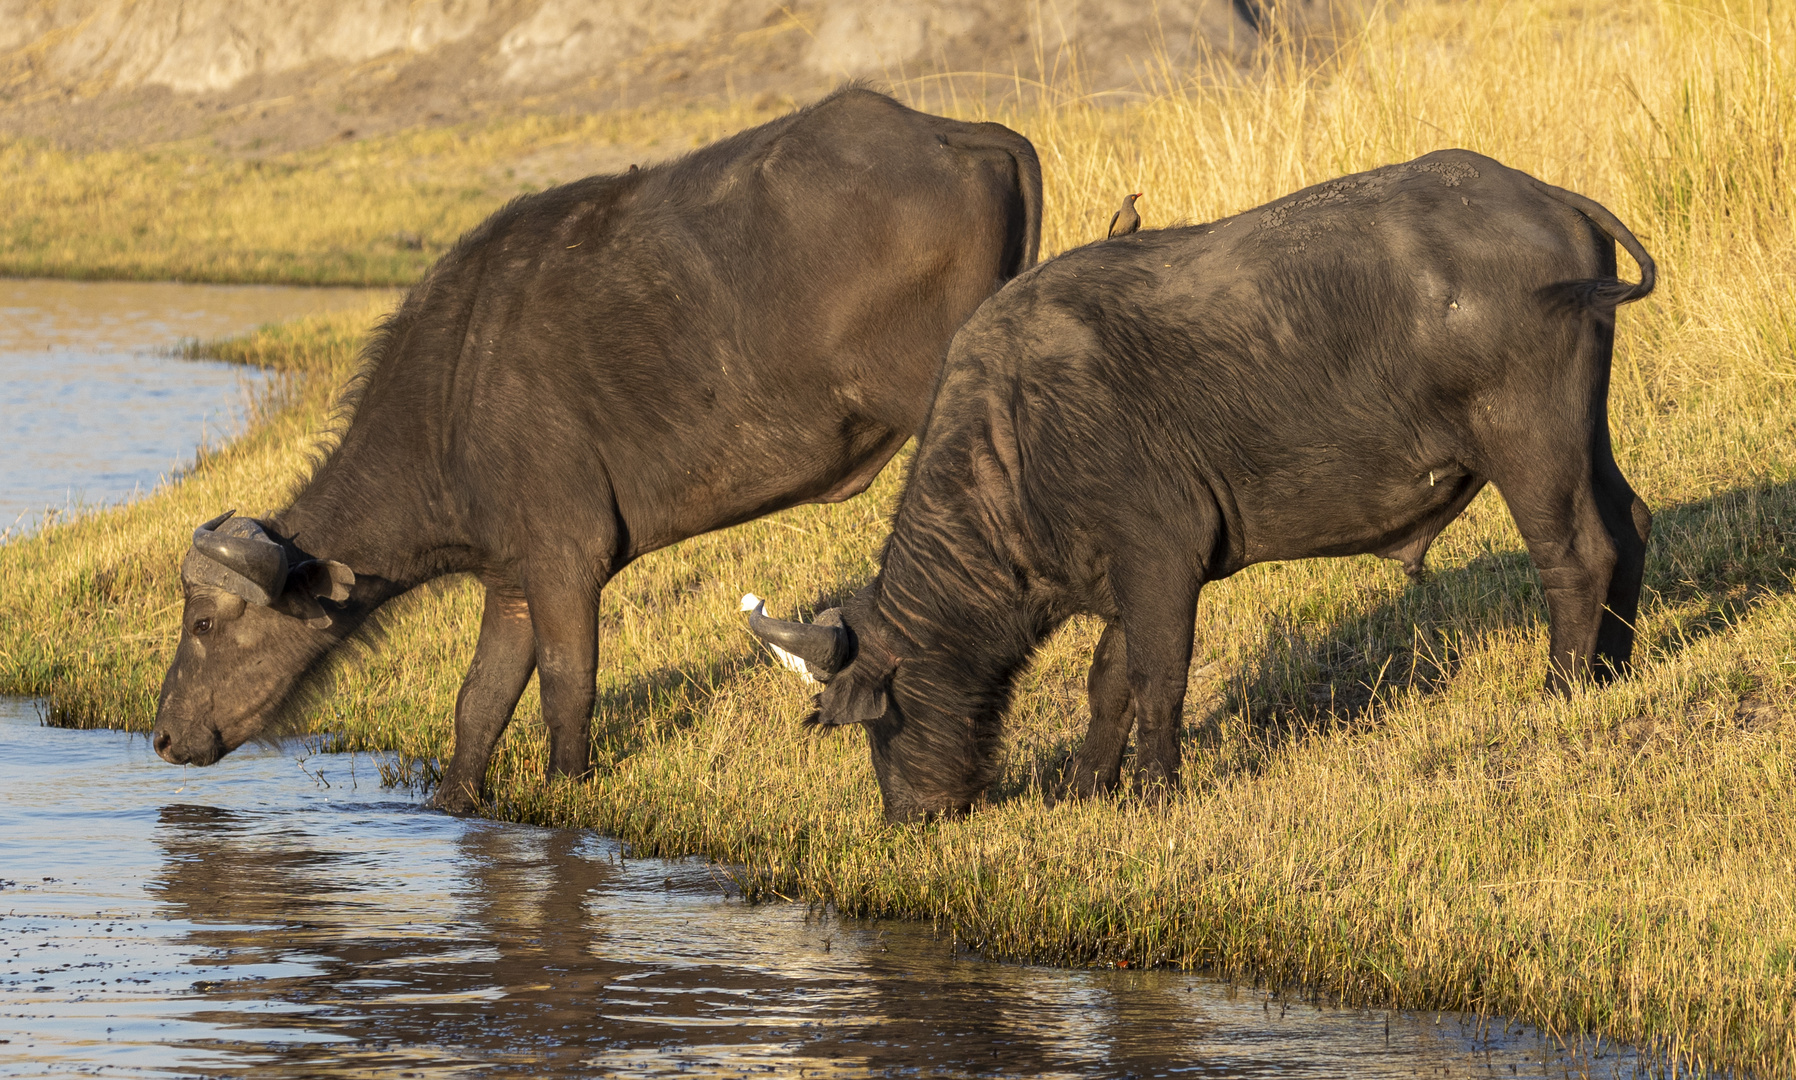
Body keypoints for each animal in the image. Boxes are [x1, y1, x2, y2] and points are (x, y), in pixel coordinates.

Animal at [161, 88, 1048, 805]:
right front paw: (455, 800)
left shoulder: (566, 561)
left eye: (202, 623)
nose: (164, 735)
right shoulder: (512, 580)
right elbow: (479, 705)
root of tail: (964, 136)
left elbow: (567, 686)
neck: (454, 394)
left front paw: (567, 788)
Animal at [747, 151, 1652, 823]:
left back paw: (1563, 686)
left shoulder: (1160, 561)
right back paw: (1615, 669)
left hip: (1529, 443)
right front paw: (1086, 787)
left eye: (881, 719)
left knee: (1576, 554)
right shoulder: (1123, 579)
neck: (1012, 441)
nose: (909, 814)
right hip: (1585, 435)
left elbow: (1158, 679)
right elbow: (1108, 683)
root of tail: (1548, 197)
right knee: (1630, 525)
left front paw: (1155, 791)